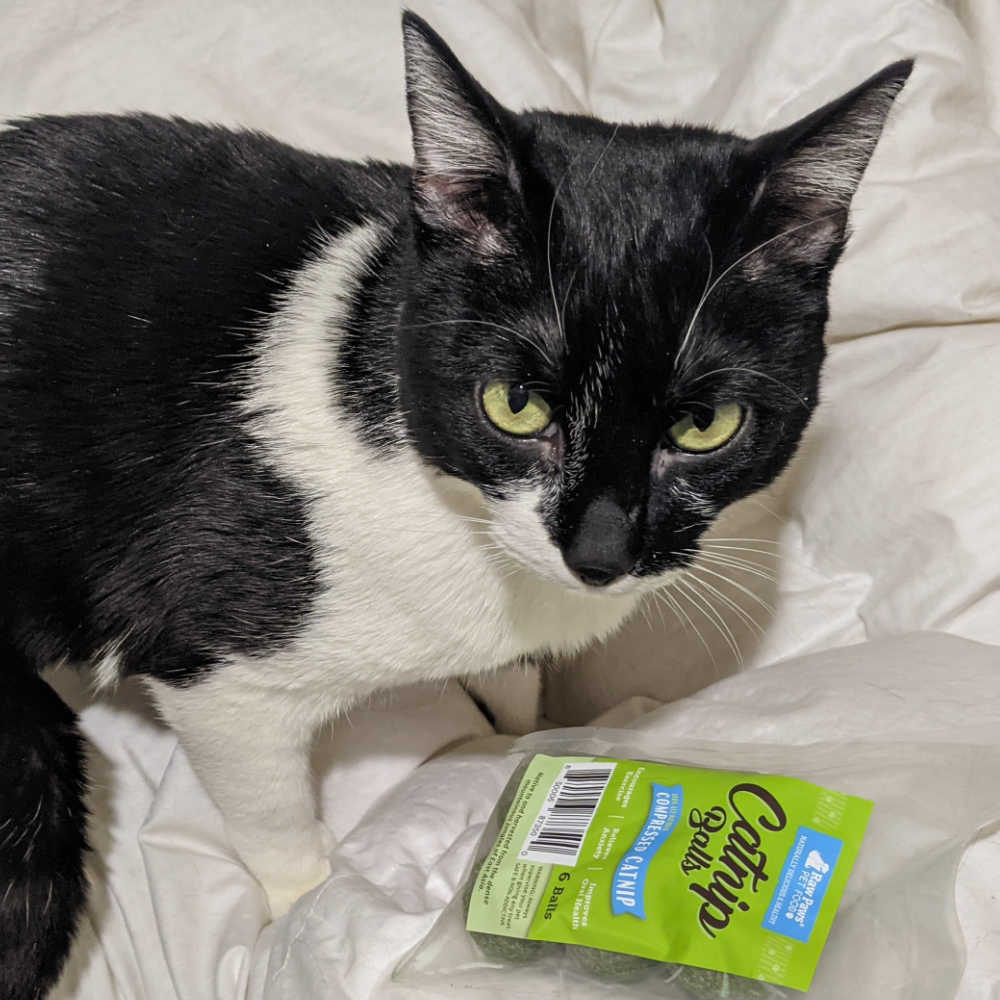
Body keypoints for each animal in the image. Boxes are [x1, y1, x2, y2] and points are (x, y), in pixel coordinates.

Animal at [0, 11, 912, 996]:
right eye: (515, 406)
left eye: (706, 425)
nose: (600, 552)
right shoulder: (219, 668)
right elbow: (270, 806)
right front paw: (306, 912)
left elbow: (517, 682)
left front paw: (524, 737)